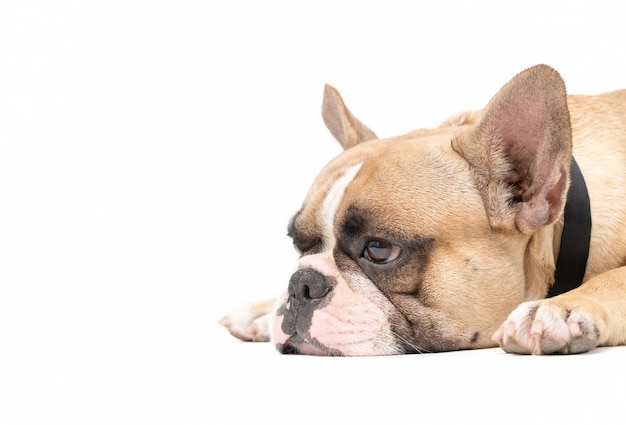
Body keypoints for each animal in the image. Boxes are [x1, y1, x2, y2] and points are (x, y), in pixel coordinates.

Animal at [218, 63, 624, 354]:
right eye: (297, 244)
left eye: (380, 250)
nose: (301, 283)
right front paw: (262, 309)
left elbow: (616, 278)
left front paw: (559, 308)